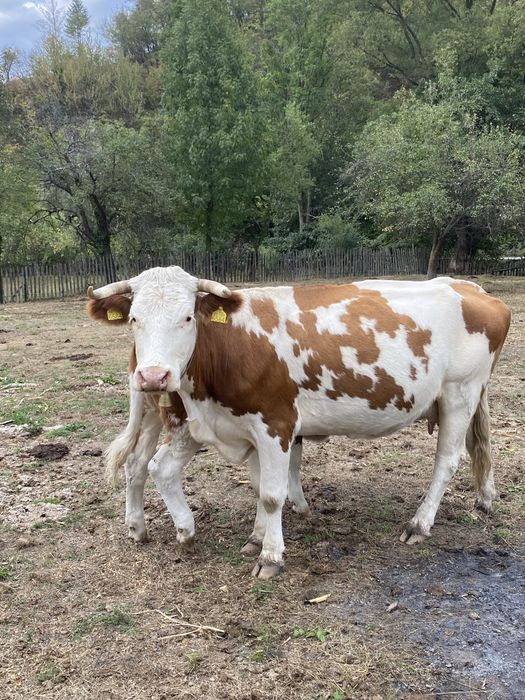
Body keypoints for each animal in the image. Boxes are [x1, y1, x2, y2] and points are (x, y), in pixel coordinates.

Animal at [87, 267, 510, 579]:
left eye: (187, 316)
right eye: (134, 318)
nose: (154, 375)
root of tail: (472, 289)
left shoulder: (275, 423)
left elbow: (271, 494)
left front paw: (270, 556)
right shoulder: (242, 426)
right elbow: (260, 485)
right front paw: (256, 538)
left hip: (459, 392)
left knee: (447, 461)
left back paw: (420, 524)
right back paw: (484, 498)